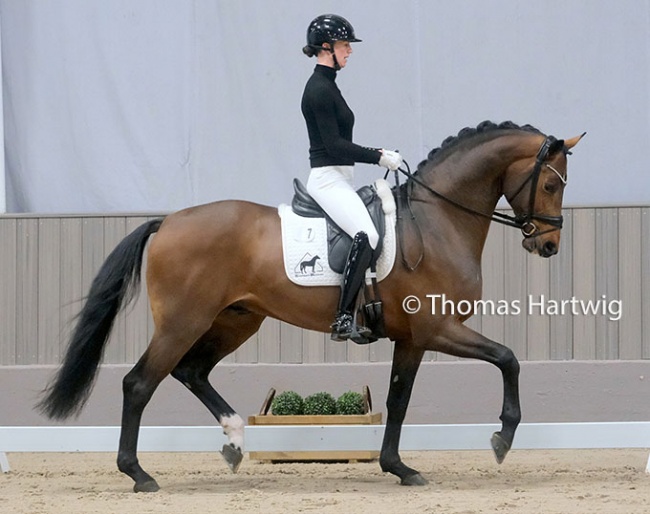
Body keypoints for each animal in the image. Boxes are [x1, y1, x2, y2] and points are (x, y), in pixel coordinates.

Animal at [35, 118, 584, 490]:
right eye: (550, 183)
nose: (548, 246)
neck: (436, 221)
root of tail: (167, 221)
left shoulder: (411, 339)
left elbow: (398, 401)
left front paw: (399, 468)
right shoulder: (437, 330)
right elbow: (508, 359)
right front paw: (502, 440)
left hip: (236, 321)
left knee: (191, 372)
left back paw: (234, 440)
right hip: (183, 323)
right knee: (139, 383)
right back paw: (139, 474)